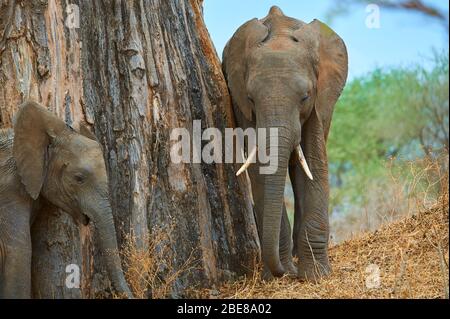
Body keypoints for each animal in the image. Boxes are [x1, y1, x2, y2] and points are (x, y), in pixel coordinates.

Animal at [222, 4, 348, 280]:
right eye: (251, 97)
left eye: (305, 97)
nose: (283, 272)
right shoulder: (241, 104)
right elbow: (261, 170)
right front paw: (280, 274)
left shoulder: (319, 102)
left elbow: (314, 161)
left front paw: (316, 276)